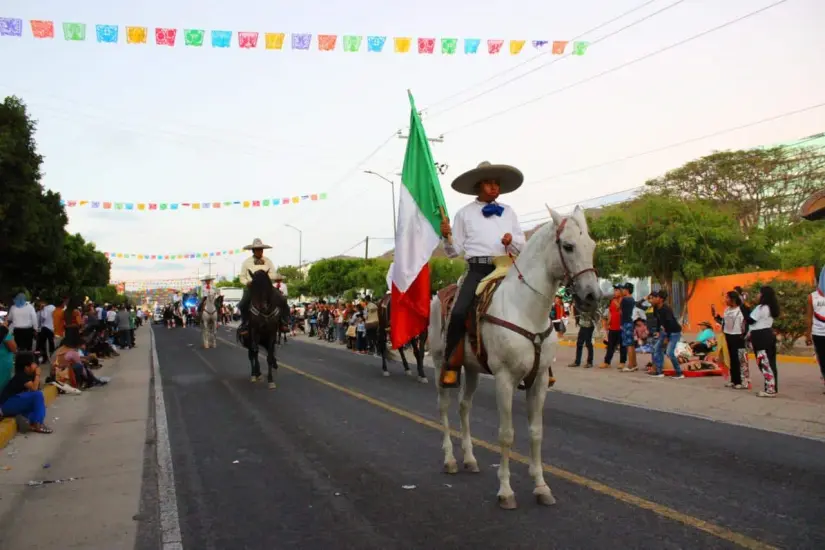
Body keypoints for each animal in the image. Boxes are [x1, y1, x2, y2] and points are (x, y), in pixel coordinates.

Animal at [428, 207, 596, 512]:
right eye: (568, 246)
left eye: (592, 245)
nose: (593, 295)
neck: (525, 310)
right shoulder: (505, 379)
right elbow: (506, 434)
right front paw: (505, 491)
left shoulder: (539, 380)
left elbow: (536, 432)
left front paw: (541, 487)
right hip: (439, 364)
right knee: (444, 406)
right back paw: (450, 460)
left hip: (471, 368)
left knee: (464, 406)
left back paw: (469, 458)